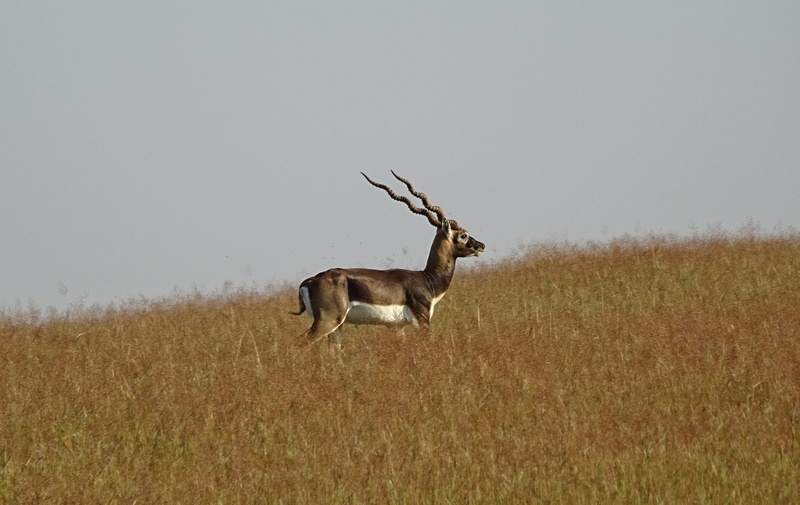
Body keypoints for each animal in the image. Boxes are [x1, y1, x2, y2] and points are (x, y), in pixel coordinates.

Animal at [292, 171, 485, 348]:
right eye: (463, 235)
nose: (481, 246)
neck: (427, 279)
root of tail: (308, 281)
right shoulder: (422, 322)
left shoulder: (397, 327)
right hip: (328, 321)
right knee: (299, 342)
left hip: (337, 327)